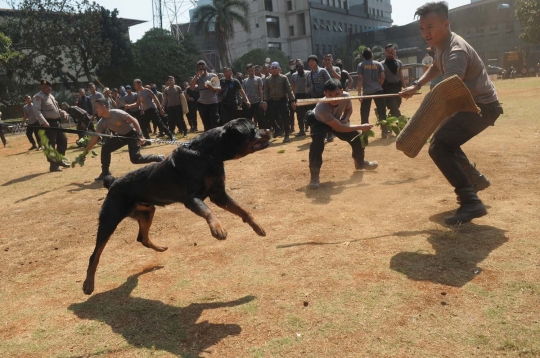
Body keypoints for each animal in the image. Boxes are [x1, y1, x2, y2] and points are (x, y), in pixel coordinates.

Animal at [81, 119, 270, 296]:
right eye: (253, 129)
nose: (268, 129)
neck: (207, 154)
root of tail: (113, 183)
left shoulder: (218, 195)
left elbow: (243, 210)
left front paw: (258, 227)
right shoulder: (192, 198)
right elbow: (209, 211)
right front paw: (218, 229)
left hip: (147, 212)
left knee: (142, 238)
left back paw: (159, 249)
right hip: (109, 221)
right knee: (94, 255)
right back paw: (88, 284)